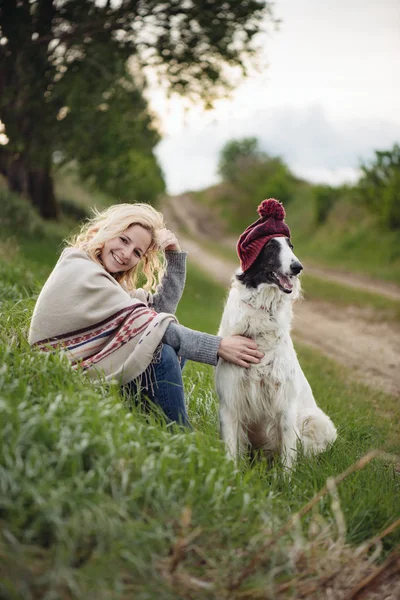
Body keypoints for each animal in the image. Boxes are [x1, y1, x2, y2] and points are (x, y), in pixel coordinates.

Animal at [216, 237, 338, 472]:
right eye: (270, 247)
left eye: (291, 246)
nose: (298, 267)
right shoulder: (230, 401)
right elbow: (231, 454)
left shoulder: (285, 406)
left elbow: (288, 462)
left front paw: (287, 481)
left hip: (314, 419)